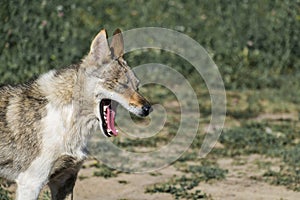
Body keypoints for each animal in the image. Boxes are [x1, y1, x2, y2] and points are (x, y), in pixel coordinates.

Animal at [0, 28, 151, 200]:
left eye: (137, 87)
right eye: (121, 84)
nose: (148, 108)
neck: (69, 121)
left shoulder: (65, 181)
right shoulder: (31, 184)